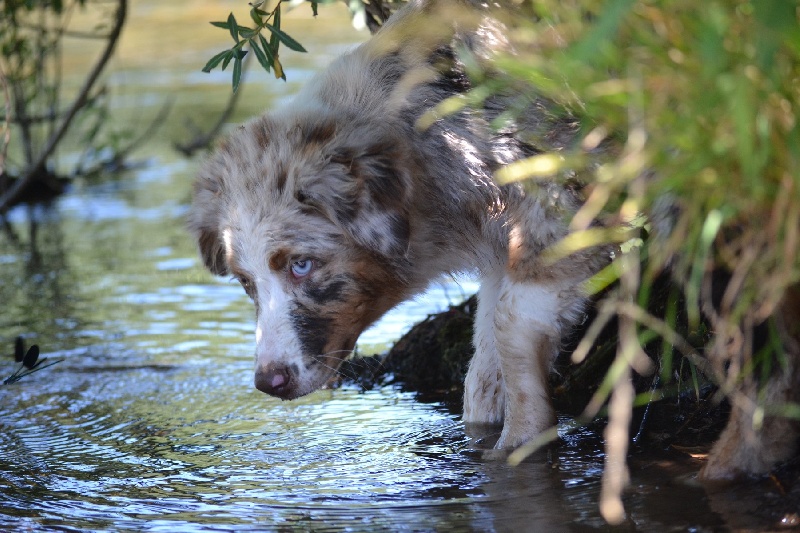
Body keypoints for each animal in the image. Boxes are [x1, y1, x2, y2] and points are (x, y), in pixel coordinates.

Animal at [189, 0, 800, 478]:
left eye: (301, 265)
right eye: (246, 283)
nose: (268, 382)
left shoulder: (562, 216)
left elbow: (508, 331)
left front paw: (519, 444)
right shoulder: (500, 245)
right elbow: (482, 365)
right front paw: (484, 432)